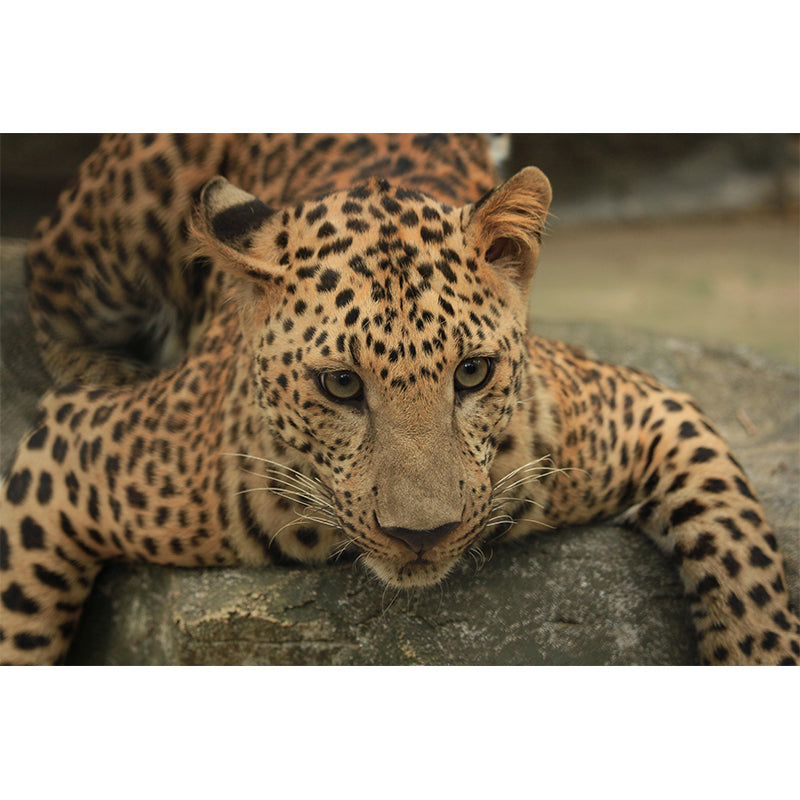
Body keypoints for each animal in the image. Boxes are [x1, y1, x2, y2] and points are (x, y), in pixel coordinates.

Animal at [1, 133, 798, 665]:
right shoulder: (71, 454)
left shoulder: (649, 408)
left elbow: (748, 568)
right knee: (43, 279)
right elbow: (21, 625)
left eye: (472, 373)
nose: (423, 536)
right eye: (340, 384)